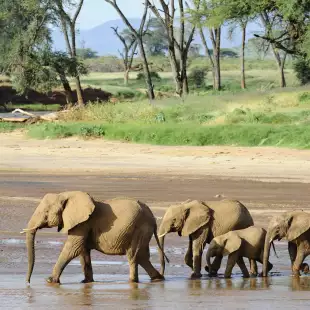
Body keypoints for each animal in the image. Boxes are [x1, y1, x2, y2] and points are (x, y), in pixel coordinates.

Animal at [21, 193, 167, 284]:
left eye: (46, 213)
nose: (28, 282)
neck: (65, 194)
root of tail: (152, 217)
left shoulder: (83, 223)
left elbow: (72, 248)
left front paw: (49, 281)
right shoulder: (82, 224)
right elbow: (83, 251)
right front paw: (86, 282)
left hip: (139, 228)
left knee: (133, 255)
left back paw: (132, 281)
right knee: (141, 256)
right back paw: (157, 279)